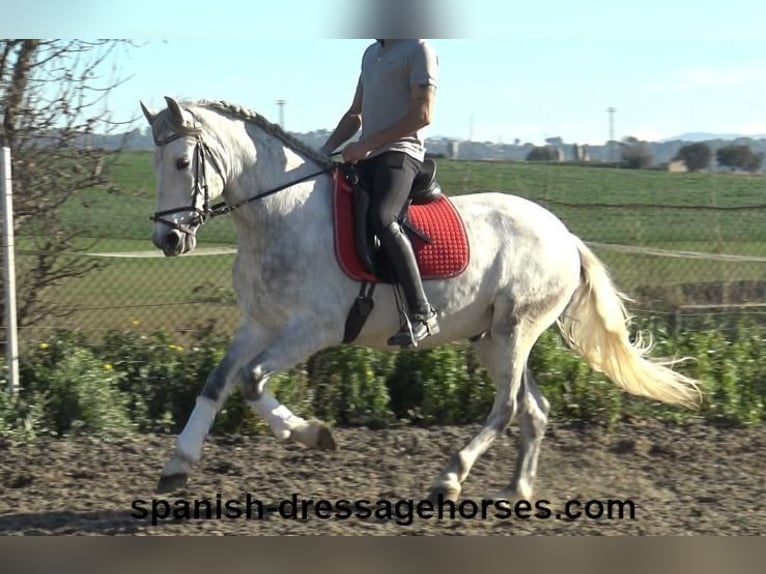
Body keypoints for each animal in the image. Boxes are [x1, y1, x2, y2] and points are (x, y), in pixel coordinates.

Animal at [138, 97, 704, 502]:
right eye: (155, 164)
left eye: (183, 161)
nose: (168, 239)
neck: (282, 214)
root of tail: (564, 235)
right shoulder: (257, 322)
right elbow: (217, 382)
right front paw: (176, 467)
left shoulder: (313, 329)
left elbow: (253, 382)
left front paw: (314, 434)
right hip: (493, 338)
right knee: (534, 409)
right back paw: (515, 489)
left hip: (516, 330)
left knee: (507, 407)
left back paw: (450, 477)